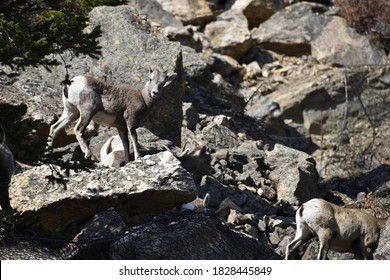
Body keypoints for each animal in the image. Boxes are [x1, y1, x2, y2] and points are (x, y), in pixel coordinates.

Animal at [47, 67, 177, 163]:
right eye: (150, 79)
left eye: (163, 82)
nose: (155, 93)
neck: (143, 99)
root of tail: (70, 84)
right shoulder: (130, 121)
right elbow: (134, 138)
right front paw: (138, 157)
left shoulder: (121, 128)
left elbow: (126, 143)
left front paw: (127, 162)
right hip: (87, 112)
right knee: (78, 130)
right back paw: (91, 156)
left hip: (71, 113)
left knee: (54, 128)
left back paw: (49, 154)